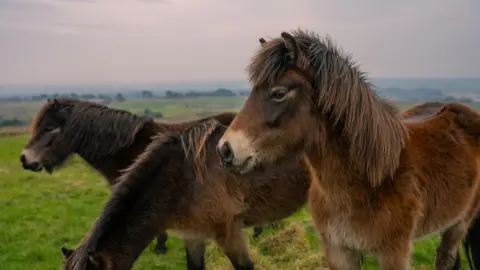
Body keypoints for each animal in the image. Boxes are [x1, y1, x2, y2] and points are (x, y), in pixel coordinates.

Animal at [218, 28, 480, 268]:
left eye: (278, 93)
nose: (225, 150)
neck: (370, 179)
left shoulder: (394, 254)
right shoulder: (338, 251)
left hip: (459, 224)